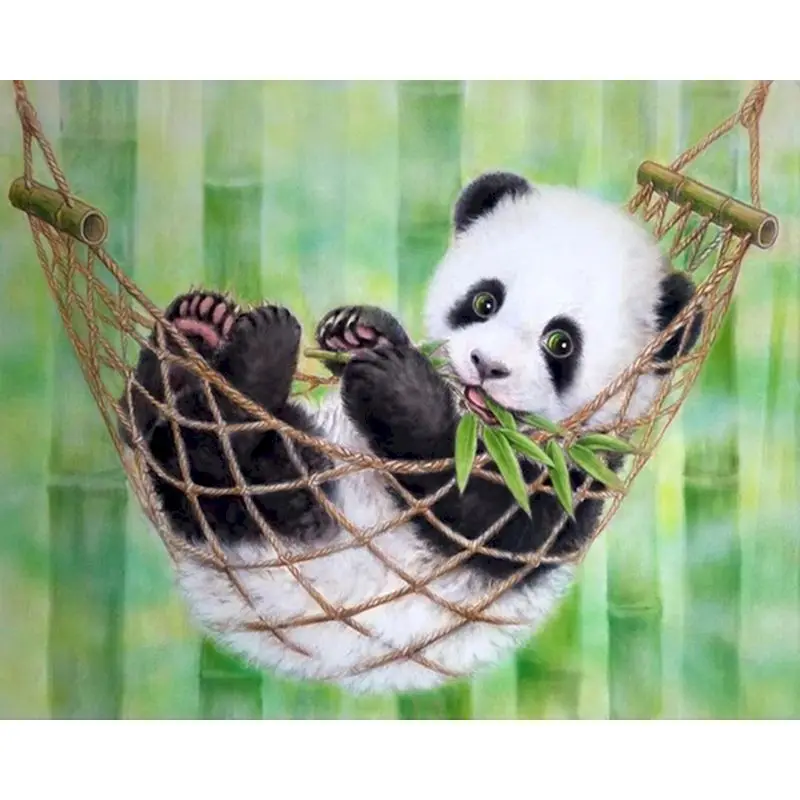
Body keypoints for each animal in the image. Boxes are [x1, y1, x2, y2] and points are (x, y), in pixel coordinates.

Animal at [120, 171, 701, 694]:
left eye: (560, 342)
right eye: (484, 302)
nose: (486, 366)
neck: (483, 428)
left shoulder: (570, 483)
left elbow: (481, 517)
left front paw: (397, 386)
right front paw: (361, 330)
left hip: (293, 515)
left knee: (217, 467)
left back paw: (252, 362)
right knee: (151, 427)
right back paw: (194, 332)